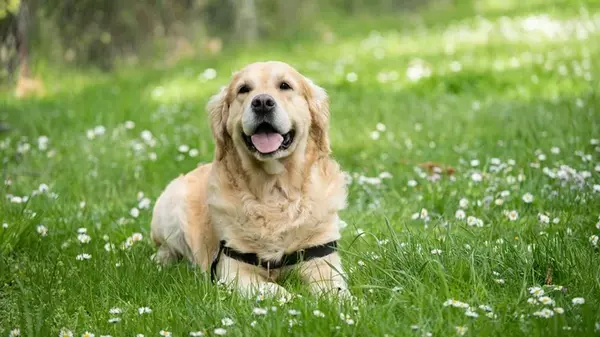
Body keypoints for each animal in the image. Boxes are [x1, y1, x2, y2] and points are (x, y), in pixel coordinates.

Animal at [150, 61, 346, 296]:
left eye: (285, 85)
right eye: (243, 89)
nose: (262, 102)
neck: (273, 190)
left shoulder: (321, 259)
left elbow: (336, 291)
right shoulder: (233, 270)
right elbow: (274, 290)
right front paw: (293, 298)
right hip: (169, 209)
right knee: (165, 249)